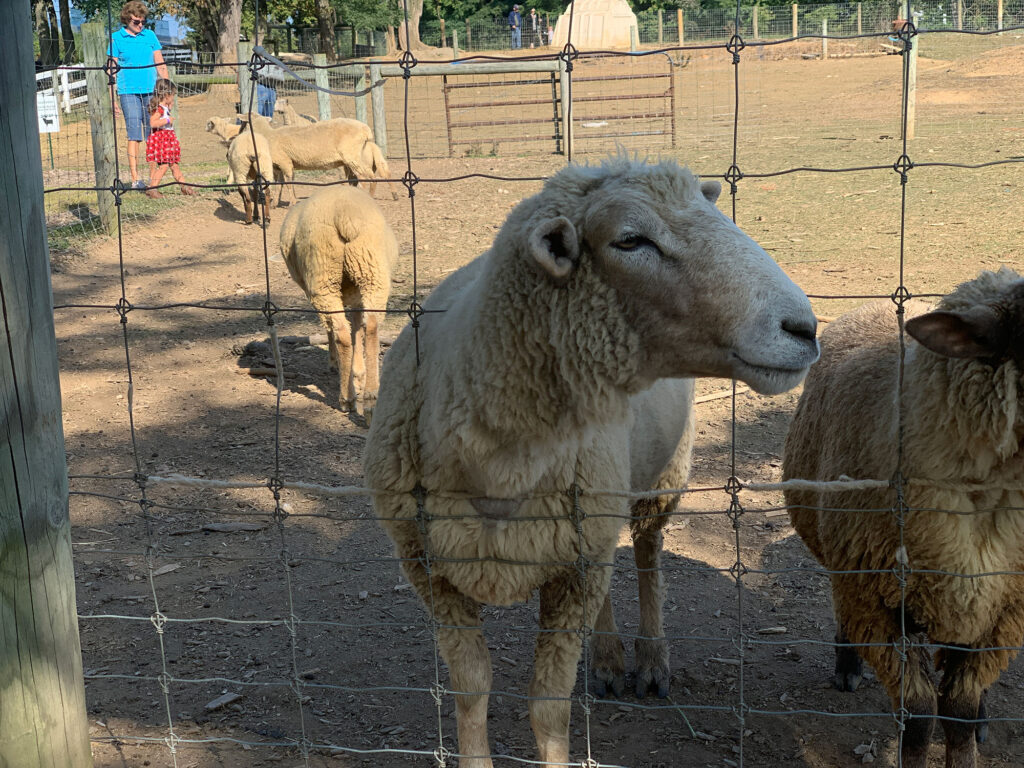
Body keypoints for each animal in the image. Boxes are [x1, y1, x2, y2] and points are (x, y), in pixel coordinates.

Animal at [278, 184, 397, 417]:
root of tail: (344, 214)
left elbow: (334, 329)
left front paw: (336, 364)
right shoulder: (356, 295)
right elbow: (357, 327)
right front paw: (357, 372)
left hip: (323, 278)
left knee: (341, 332)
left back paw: (346, 398)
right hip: (372, 272)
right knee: (371, 327)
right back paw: (370, 398)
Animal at [364, 157, 819, 768]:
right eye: (630, 240)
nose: (805, 329)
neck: (499, 469)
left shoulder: (572, 570)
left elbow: (549, 709)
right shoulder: (433, 571)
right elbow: (472, 691)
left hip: (659, 480)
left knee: (648, 555)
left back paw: (650, 661)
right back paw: (604, 660)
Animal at [782, 268, 1024, 768]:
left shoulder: (1000, 610)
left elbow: (960, 712)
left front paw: (972, 731)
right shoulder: (877, 603)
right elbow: (919, 718)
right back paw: (847, 668)